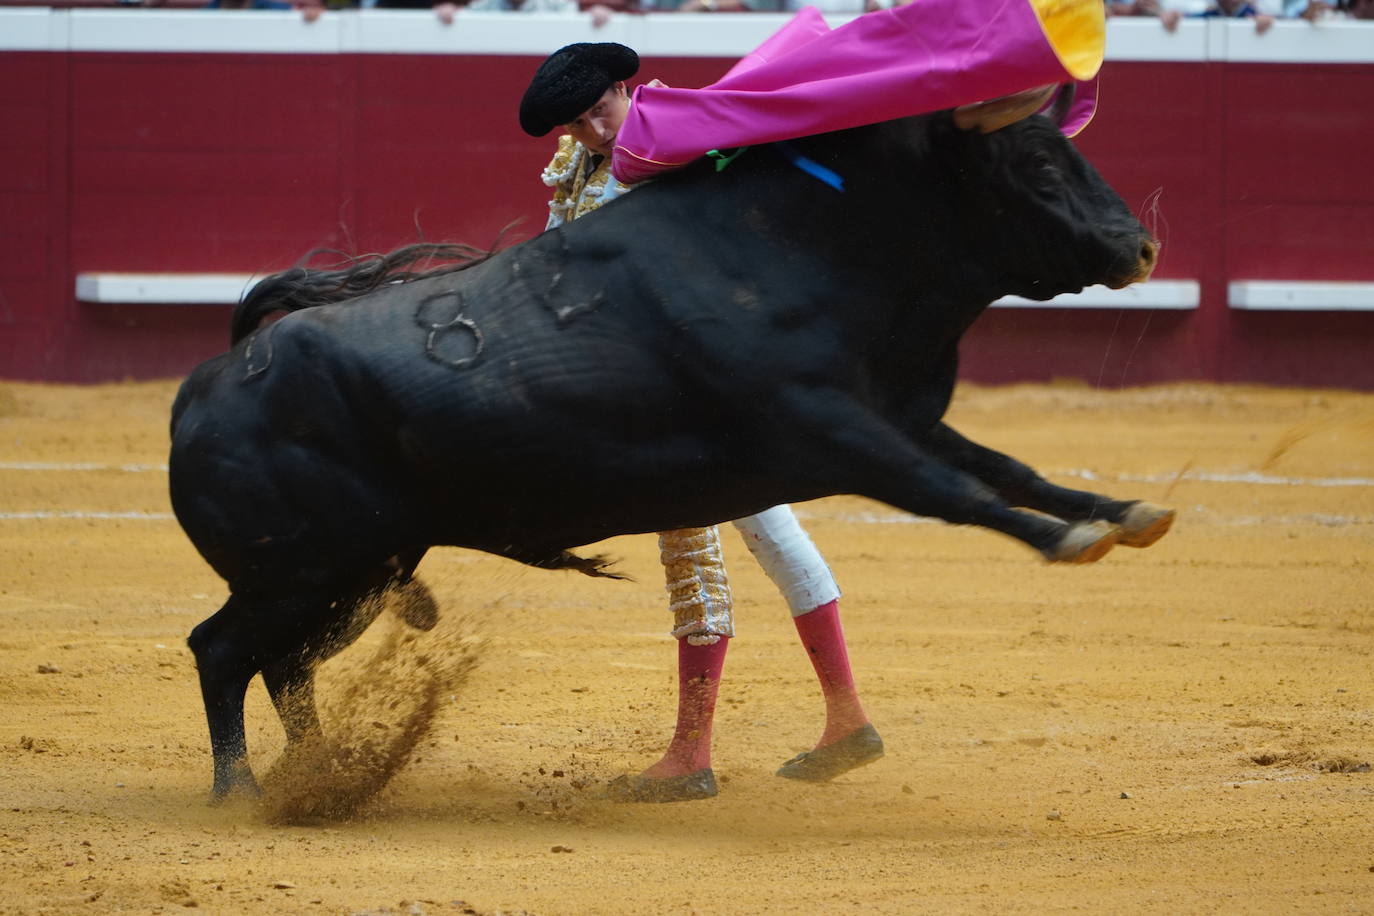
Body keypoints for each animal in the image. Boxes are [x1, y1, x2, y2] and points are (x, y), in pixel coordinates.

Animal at [166, 109, 1165, 802]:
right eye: (1038, 163)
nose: (1140, 244)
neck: (810, 242)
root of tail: (210, 381)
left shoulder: (891, 417)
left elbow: (1006, 468)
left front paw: (1124, 513)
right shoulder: (838, 431)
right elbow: (955, 490)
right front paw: (1072, 541)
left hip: (357, 573)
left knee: (283, 665)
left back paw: (317, 773)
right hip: (300, 574)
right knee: (222, 650)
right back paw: (245, 790)